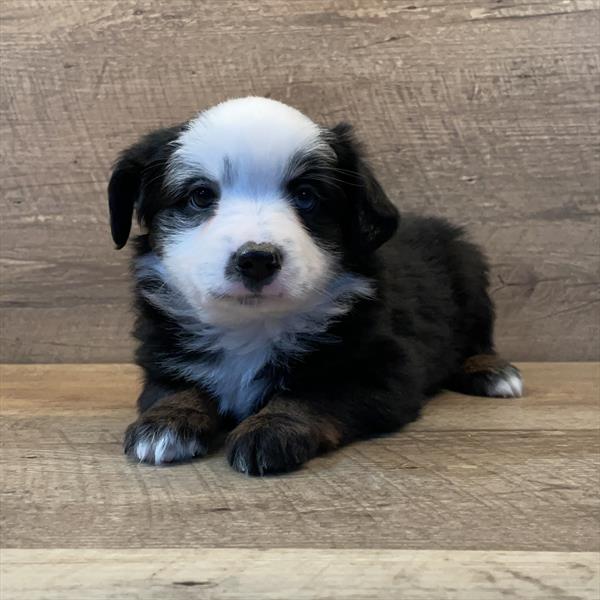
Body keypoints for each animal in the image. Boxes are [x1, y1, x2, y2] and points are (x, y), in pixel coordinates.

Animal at [110, 96, 524, 476]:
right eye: (199, 196)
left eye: (306, 196)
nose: (256, 259)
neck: (252, 326)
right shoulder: (161, 354)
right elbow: (175, 387)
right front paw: (165, 423)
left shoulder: (383, 368)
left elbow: (313, 393)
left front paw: (271, 428)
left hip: (470, 274)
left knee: (478, 341)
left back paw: (493, 373)